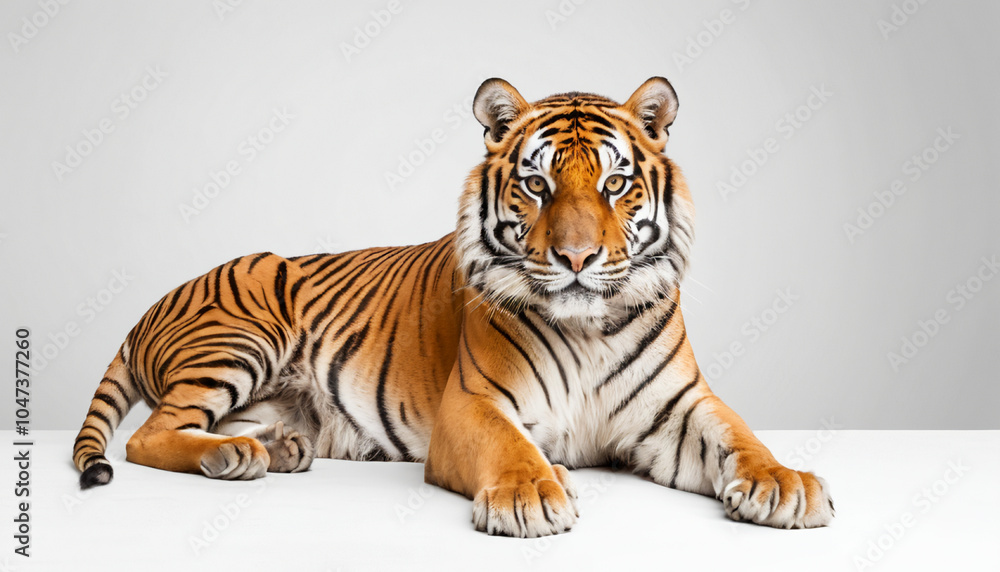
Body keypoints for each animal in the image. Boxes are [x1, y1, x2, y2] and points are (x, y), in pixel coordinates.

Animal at [73, 77, 835, 536]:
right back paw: (235, 458)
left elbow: (742, 437)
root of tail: (147, 309)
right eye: (536, 184)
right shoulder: (472, 403)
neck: (590, 328)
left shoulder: (679, 407)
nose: (577, 258)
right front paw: (532, 492)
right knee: (147, 436)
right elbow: (511, 446)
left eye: (616, 184)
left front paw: (785, 485)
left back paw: (277, 449)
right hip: (241, 332)